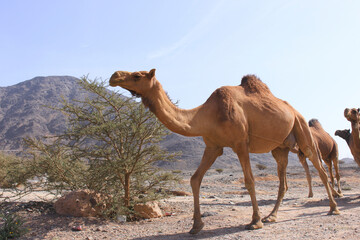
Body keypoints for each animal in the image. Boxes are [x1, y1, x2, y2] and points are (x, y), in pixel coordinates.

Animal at [109, 69, 340, 234]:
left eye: (137, 75)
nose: (114, 76)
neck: (206, 114)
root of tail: (294, 110)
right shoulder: (213, 146)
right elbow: (194, 179)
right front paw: (196, 225)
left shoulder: (240, 143)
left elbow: (249, 181)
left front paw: (255, 221)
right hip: (280, 148)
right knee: (283, 180)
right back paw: (272, 216)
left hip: (302, 130)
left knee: (319, 168)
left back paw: (333, 208)